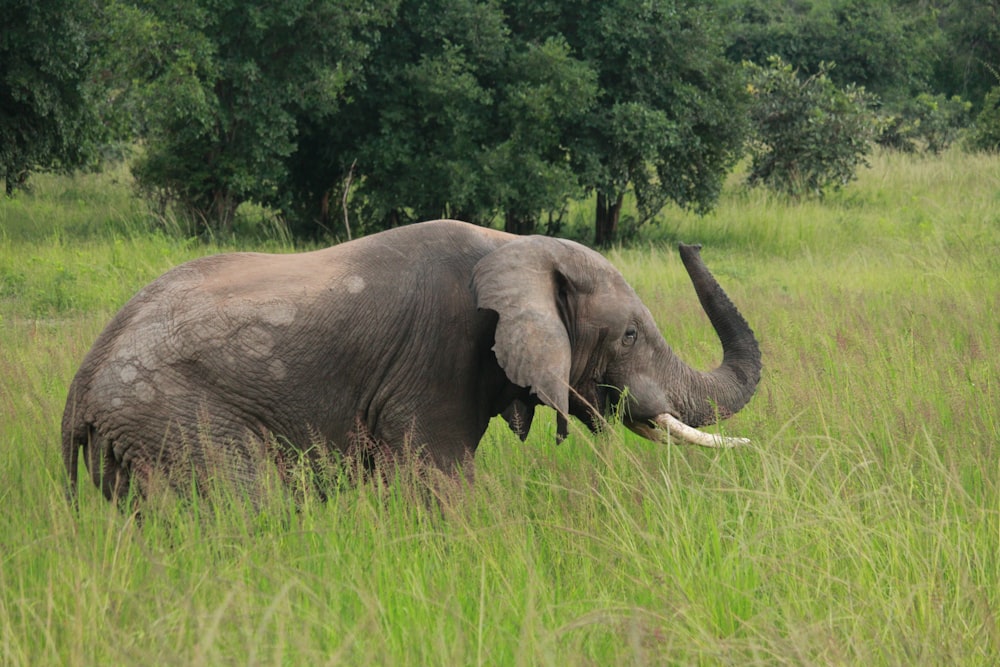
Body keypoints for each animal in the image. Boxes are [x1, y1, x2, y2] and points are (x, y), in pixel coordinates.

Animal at [62, 219, 760, 500]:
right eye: (631, 337)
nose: (689, 243)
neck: (513, 246)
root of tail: (80, 392)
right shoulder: (437, 359)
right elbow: (440, 479)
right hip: (178, 420)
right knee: (245, 504)